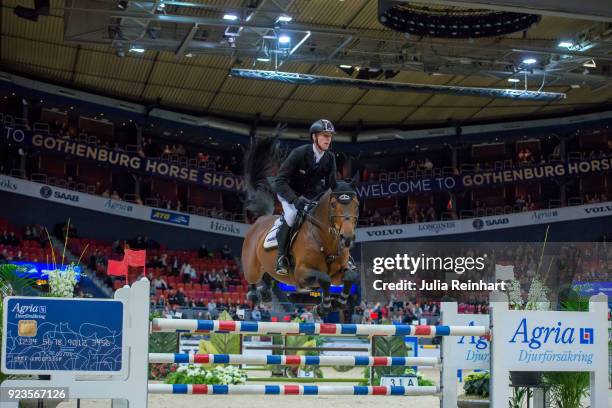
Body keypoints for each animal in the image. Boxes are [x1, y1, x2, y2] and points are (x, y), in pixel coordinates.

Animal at [243, 139, 360, 318]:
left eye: (357, 205)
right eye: (333, 205)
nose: (347, 238)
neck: (326, 240)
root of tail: (261, 220)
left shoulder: (338, 274)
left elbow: (350, 276)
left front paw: (338, 303)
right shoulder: (301, 274)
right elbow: (324, 279)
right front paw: (324, 307)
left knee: (269, 274)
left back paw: (265, 292)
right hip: (252, 267)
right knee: (252, 277)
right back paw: (254, 294)